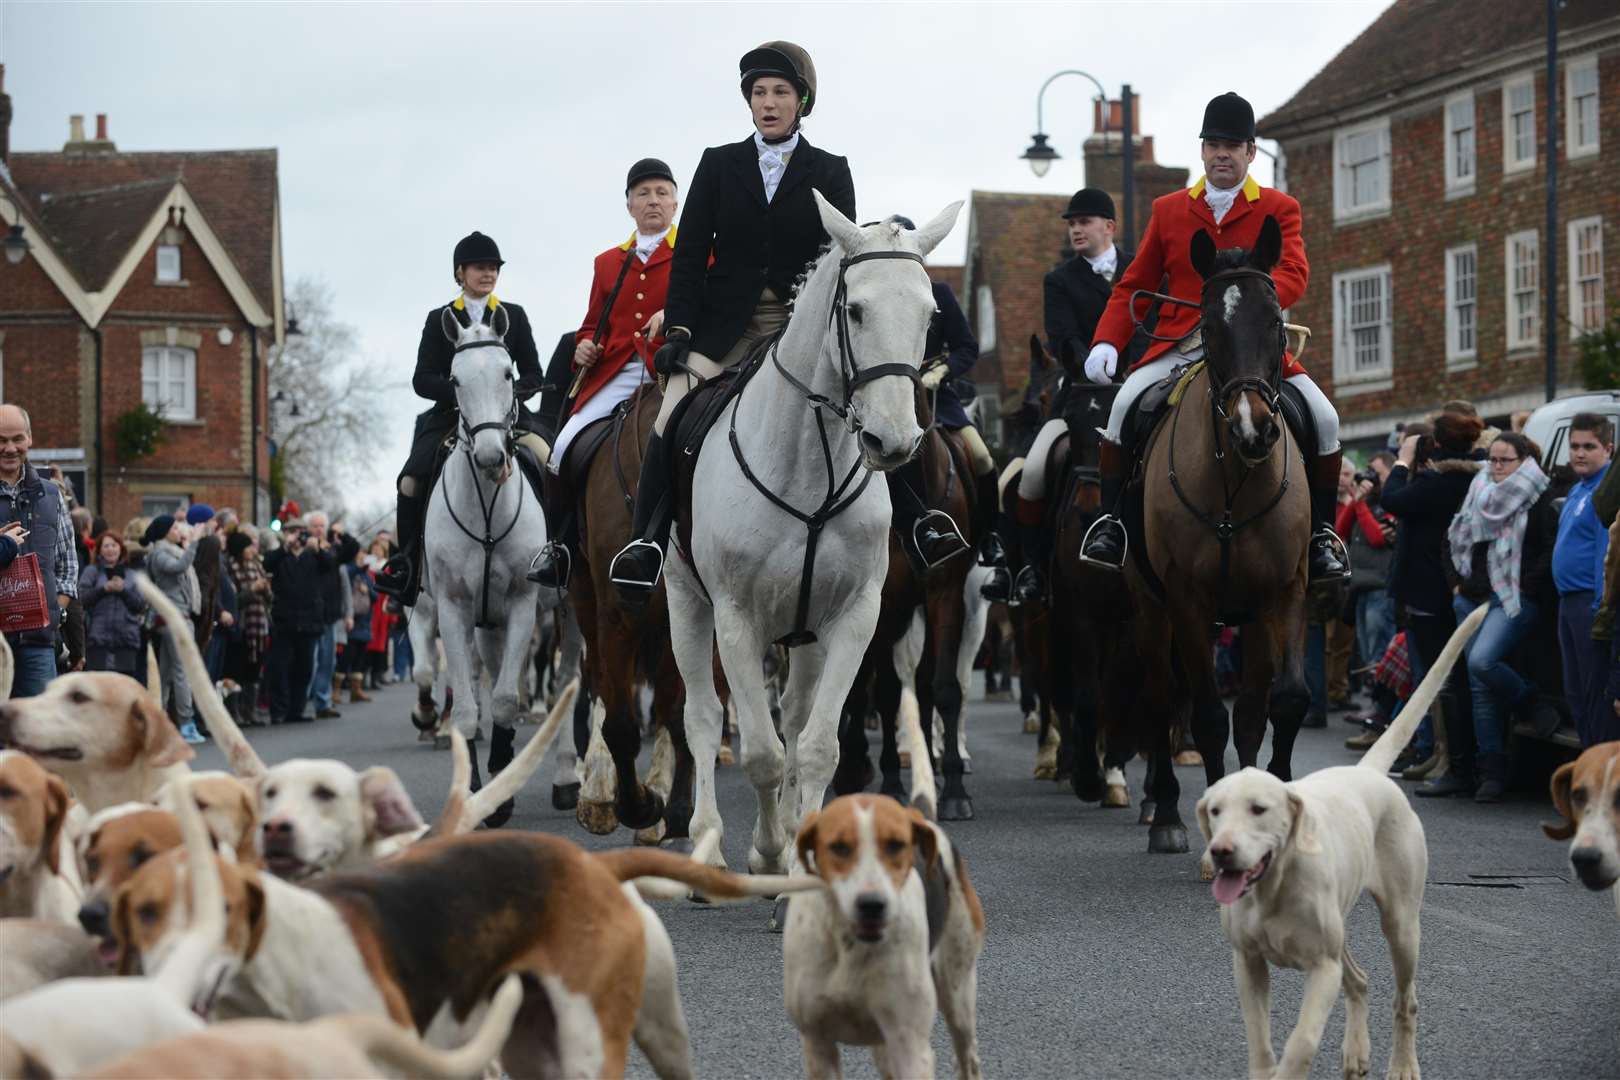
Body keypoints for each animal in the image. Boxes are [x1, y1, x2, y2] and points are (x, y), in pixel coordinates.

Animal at [411, 307, 550, 767]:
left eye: (508, 373)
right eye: (455, 380)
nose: (491, 457)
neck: (487, 508)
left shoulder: (523, 603)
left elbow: (504, 698)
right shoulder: (451, 606)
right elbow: (466, 709)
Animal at [660, 191, 952, 867]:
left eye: (929, 313)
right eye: (857, 309)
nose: (893, 442)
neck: (808, 466)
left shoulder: (854, 617)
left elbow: (816, 746)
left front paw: (799, 854)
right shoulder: (736, 620)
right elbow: (761, 755)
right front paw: (767, 853)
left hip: (805, 633)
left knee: (792, 717)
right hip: (686, 603)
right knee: (702, 717)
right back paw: (707, 842)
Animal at [1134, 220, 1308, 854]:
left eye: (1277, 320)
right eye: (1208, 326)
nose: (1253, 429)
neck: (1235, 476)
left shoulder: (1282, 591)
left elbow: (1279, 703)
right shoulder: (1187, 599)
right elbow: (1208, 715)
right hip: (1151, 606)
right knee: (1160, 697)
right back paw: (1163, 812)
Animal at [1198, 605, 1483, 1075]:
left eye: (1258, 808)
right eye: (1215, 811)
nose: (1220, 852)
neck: (1273, 889)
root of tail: (1367, 771)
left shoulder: (1322, 969)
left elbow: (1302, 1041)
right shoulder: (1248, 963)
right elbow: (1259, 1038)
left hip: (1402, 927)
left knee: (1405, 1000)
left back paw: (1402, 1065)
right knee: (1361, 981)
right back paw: (1356, 1051)